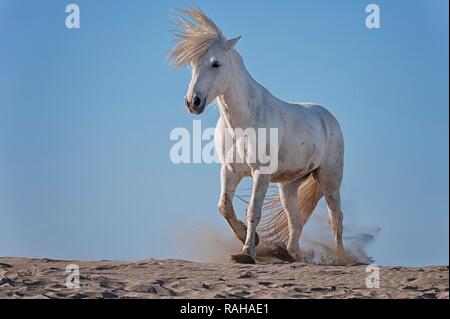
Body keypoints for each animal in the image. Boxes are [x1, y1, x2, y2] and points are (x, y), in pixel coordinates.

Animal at [171, 8, 350, 266]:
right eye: (193, 64)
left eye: (216, 64)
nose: (192, 102)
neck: (243, 123)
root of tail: (328, 116)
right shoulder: (230, 171)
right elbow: (224, 206)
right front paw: (248, 237)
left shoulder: (261, 174)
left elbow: (253, 211)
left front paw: (247, 252)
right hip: (288, 185)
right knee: (296, 221)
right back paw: (290, 254)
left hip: (329, 179)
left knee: (336, 218)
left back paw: (342, 259)